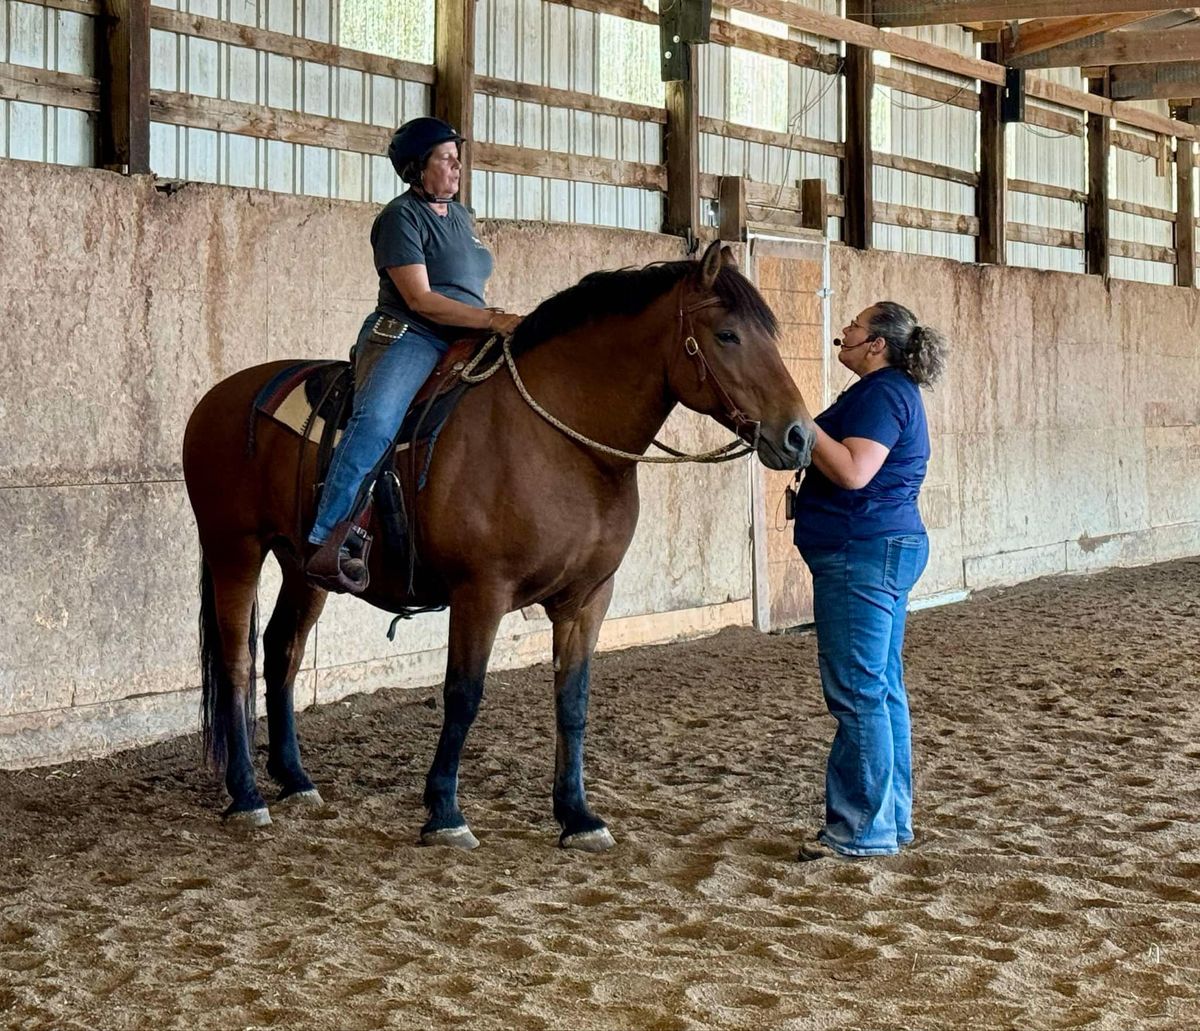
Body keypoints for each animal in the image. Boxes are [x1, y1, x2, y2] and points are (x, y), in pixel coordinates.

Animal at [182, 243, 820, 854]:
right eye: (727, 334)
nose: (799, 436)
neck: (563, 442)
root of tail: (217, 397)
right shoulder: (481, 592)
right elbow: (463, 694)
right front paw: (445, 813)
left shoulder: (588, 598)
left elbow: (573, 700)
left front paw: (578, 816)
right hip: (234, 550)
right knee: (237, 662)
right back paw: (246, 796)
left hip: (304, 566)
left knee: (282, 651)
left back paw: (295, 780)